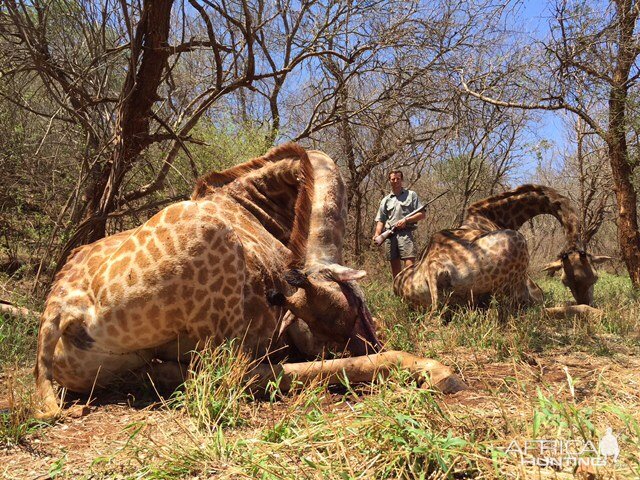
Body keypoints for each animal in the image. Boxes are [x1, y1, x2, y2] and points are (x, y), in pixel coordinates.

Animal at [36, 143, 464, 420]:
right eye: (350, 305)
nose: (368, 340)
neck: (260, 209)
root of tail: (60, 311)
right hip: (224, 340)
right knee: (230, 378)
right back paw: (435, 371)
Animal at [396, 185, 608, 316]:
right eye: (565, 282)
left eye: (594, 278)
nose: (588, 300)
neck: (496, 216)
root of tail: (433, 271)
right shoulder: (533, 295)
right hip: (517, 263)